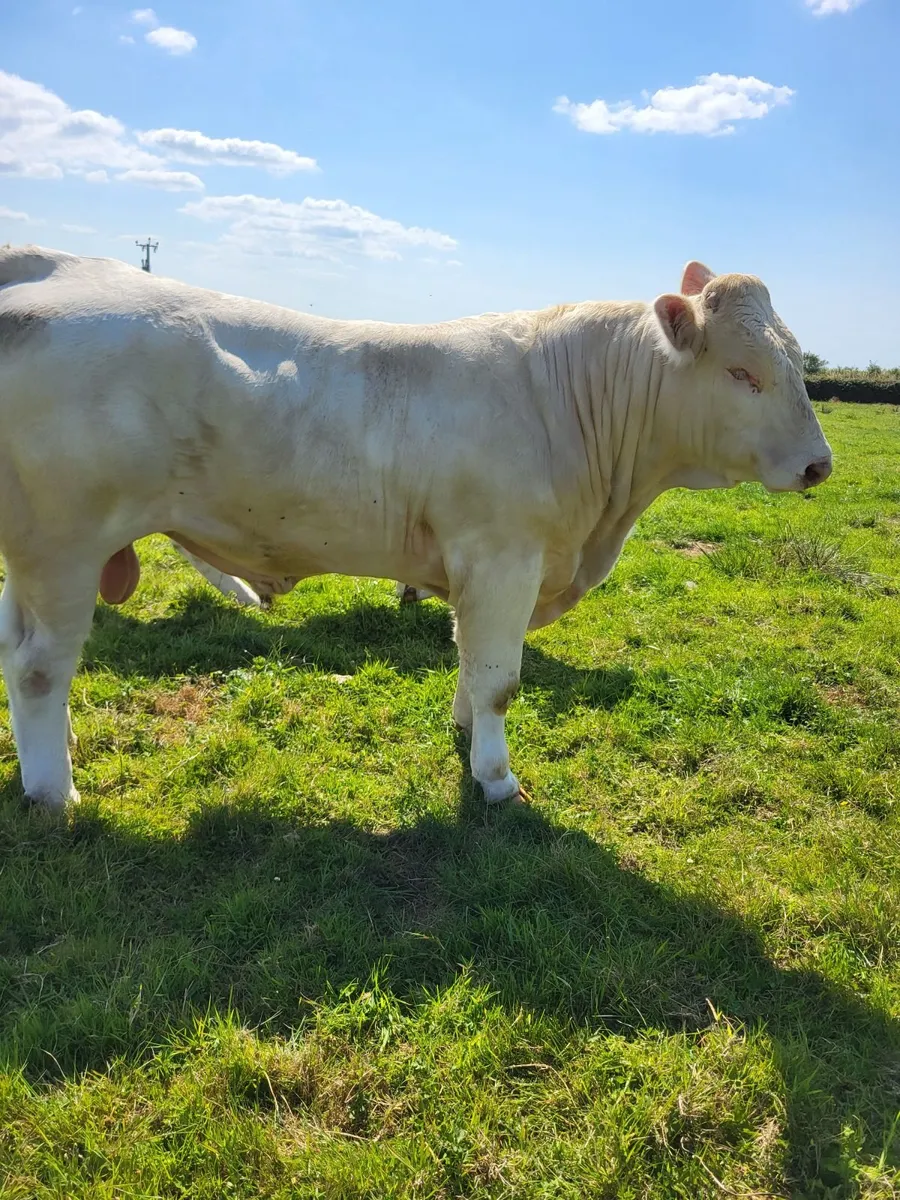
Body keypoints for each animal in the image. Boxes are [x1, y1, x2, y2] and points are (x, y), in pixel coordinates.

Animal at [0, 246, 832, 812]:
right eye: (743, 374)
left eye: (798, 361)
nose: (819, 464)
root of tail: (53, 264)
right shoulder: (503, 556)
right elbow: (499, 679)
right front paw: (496, 778)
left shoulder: (484, 568)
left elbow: (470, 661)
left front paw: (466, 736)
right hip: (63, 546)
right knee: (40, 668)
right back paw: (55, 793)